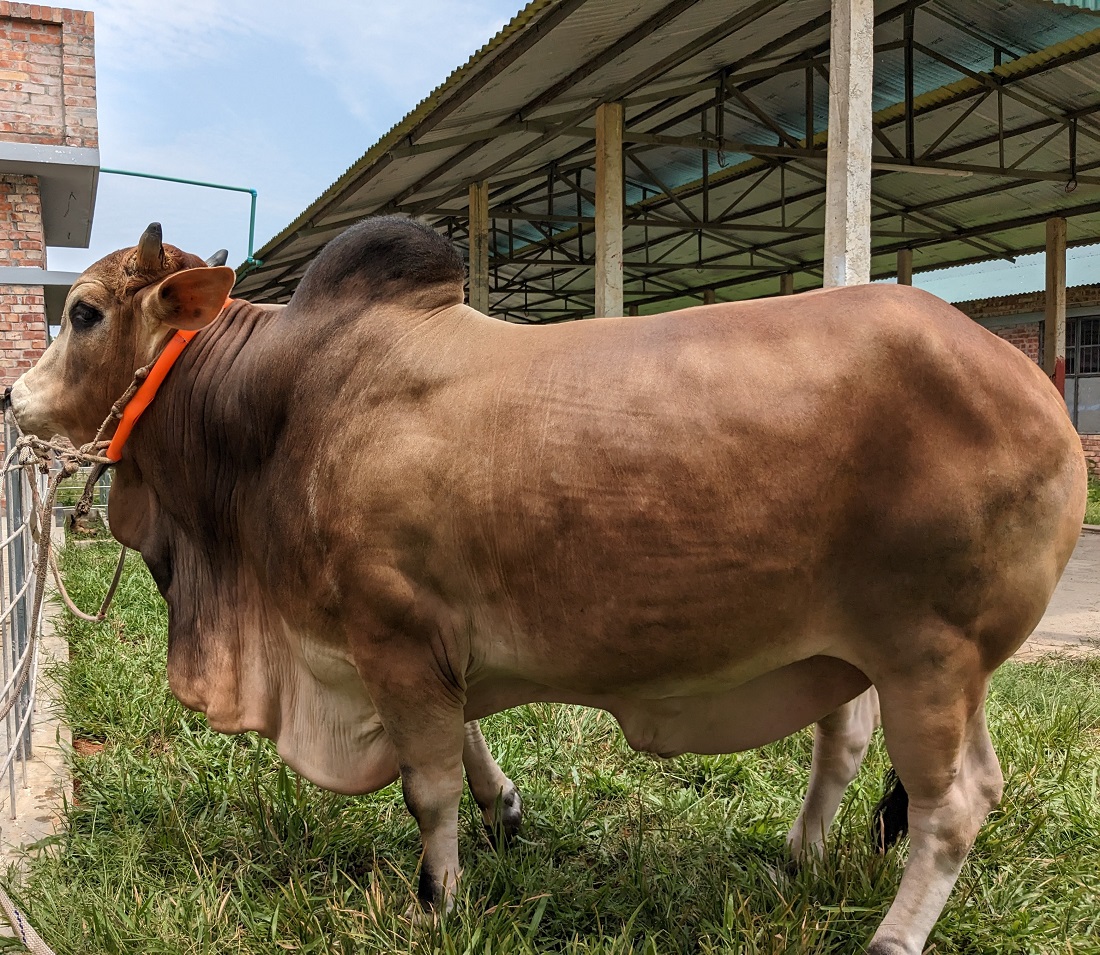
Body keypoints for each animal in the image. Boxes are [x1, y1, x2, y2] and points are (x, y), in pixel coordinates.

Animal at [8, 220, 1086, 950]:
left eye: (84, 312)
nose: (15, 397)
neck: (274, 411)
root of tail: (1028, 380)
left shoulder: (392, 631)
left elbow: (428, 783)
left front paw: (438, 898)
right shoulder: (415, 643)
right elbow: (463, 741)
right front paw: (507, 813)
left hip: (931, 654)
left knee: (956, 801)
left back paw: (889, 934)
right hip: (863, 649)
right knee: (850, 746)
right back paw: (798, 855)